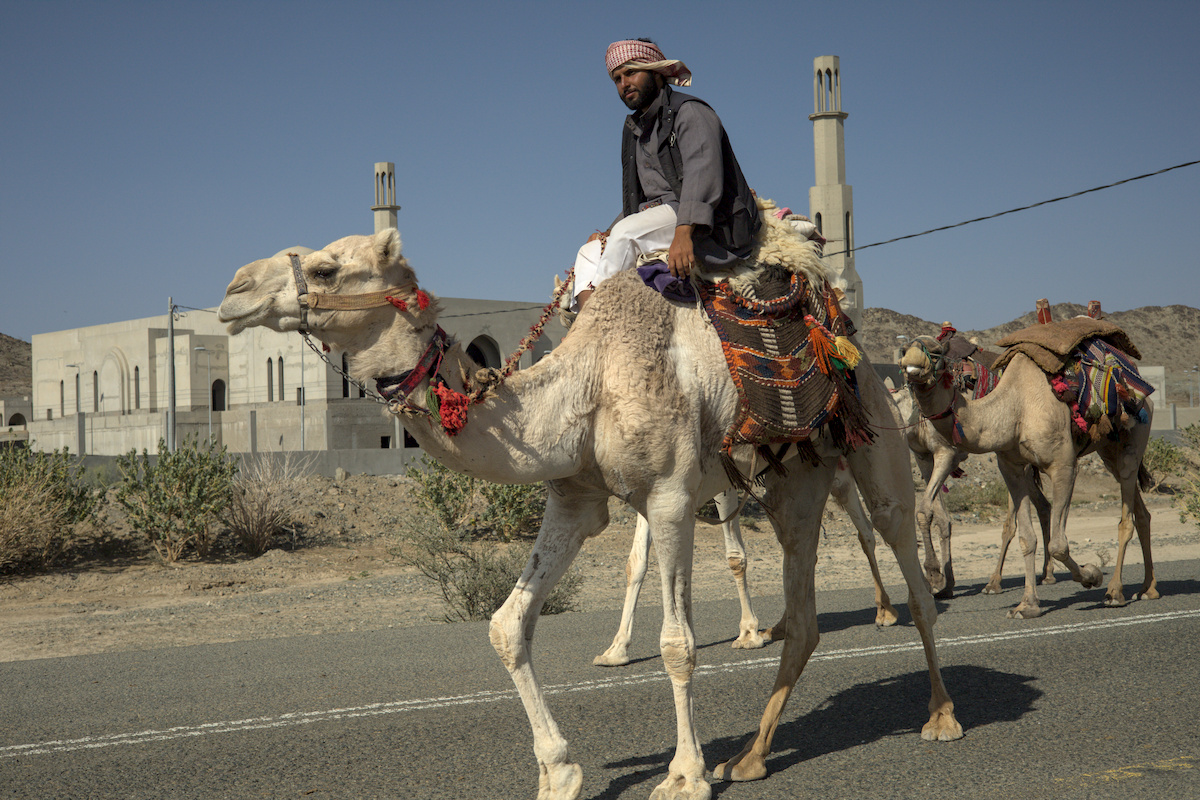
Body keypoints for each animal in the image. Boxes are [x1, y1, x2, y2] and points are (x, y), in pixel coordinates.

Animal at [219, 226, 960, 800]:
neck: (587, 382)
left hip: (873, 432)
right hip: (793, 480)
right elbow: (507, 626)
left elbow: (678, 644)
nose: (233, 289)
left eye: (325, 267)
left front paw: (683, 776)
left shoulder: (669, 495)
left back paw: (941, 714)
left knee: (903, 548)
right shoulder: (574, 502)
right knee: (803, 614)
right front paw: (560, 773)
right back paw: (749, 758)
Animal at [900, 334, 1156, 619]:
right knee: (1140, 511)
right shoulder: (1011, 466)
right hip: (1108, 448)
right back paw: (1148, 589)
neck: (1015, 408)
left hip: (1134, 437)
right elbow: (1026, 537)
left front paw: (1091, 575)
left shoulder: (1063, 465)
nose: (910, 362)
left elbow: (1058, 544)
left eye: (935, 353)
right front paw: (1027, 605)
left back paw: (1115, 592)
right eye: (903, 349)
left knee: (1126, 516)